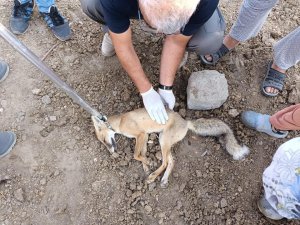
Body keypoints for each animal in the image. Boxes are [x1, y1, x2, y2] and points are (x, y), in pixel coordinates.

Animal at [92, 108, 250, 187]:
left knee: (165, 162)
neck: (120, 121)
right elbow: (142, 153)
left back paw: (153, 177)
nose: (112, 153)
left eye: (104, 141)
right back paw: (162, 179)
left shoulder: (141, 134)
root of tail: (186, 122)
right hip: (163, 140)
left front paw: (148, 163)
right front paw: (146, 166)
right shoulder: (145, 136)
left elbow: (136, 155)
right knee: (172, 161)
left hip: (164, 142)